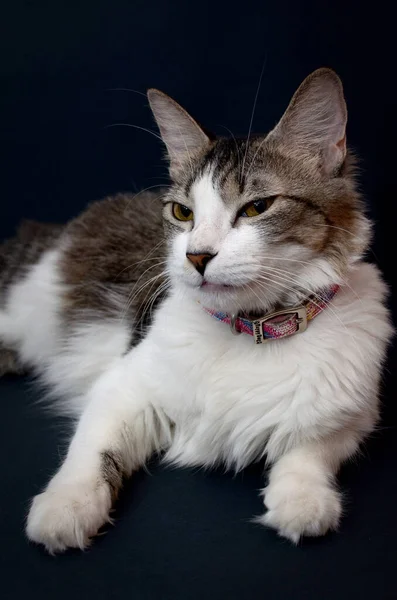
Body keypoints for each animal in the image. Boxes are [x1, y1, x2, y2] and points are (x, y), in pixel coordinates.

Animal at [0, 68, 390, 552]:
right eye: (183, 212)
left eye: (257, 207)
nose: (197, 256)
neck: (252, 329)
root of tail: (59, 228)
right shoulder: (122, 385)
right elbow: (90, 451)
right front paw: (66, 505)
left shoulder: (354, 413)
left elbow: (309, 450)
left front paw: (302, 500)